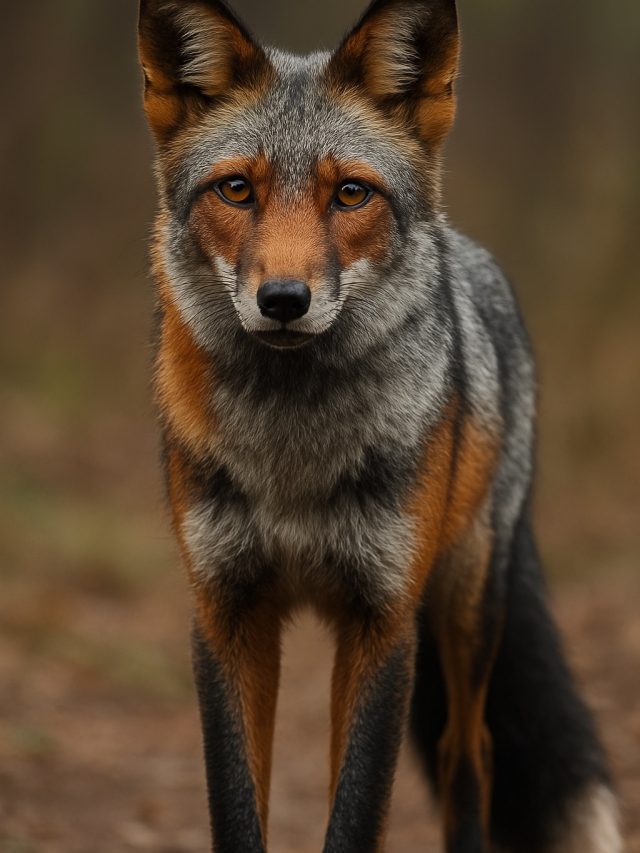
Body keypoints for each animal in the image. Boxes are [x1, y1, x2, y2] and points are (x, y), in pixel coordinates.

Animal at [137, 0, 622, 851]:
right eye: (237, 190)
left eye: (351, 194)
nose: (284, 300)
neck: (292, 458)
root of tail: (466, 247)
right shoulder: (226, 611)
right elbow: (240, 807)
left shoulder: (383, 617)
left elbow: (358, 812)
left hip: (467, 604)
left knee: (471, 755)